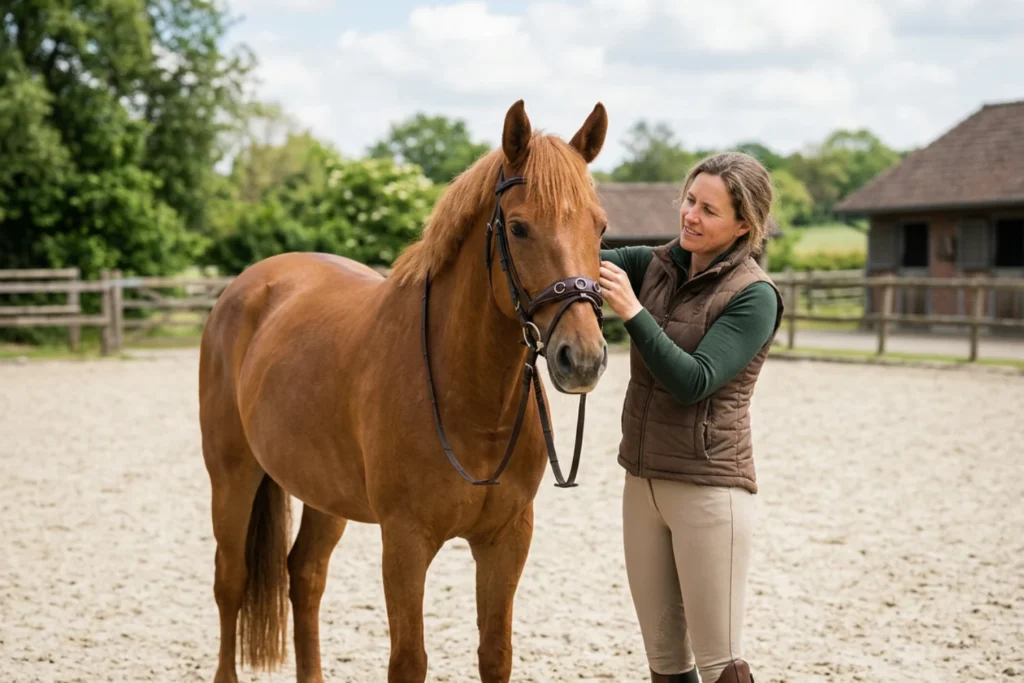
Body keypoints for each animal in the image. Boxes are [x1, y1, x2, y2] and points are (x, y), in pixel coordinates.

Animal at [197, 98, 611, 683]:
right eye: (519, 227)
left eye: (600, 227)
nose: (584, 358)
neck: (474, 407)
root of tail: (246, 286)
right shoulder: (405, 542)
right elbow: (409, 660)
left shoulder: (506, 540)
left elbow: (496, 654)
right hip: (232, 475)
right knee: (230, 581)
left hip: (324, 492)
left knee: (305, 575)